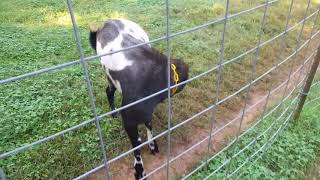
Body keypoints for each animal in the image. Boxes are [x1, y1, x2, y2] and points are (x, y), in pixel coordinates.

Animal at [89, 19, 189, 179]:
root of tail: (108, 21)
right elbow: (136, 145)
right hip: (109, 76)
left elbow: (149, 123)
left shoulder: (146, 110)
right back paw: (113, 113)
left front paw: (153, 145)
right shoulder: (128, 117)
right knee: (109, 91)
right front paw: (140, 170)